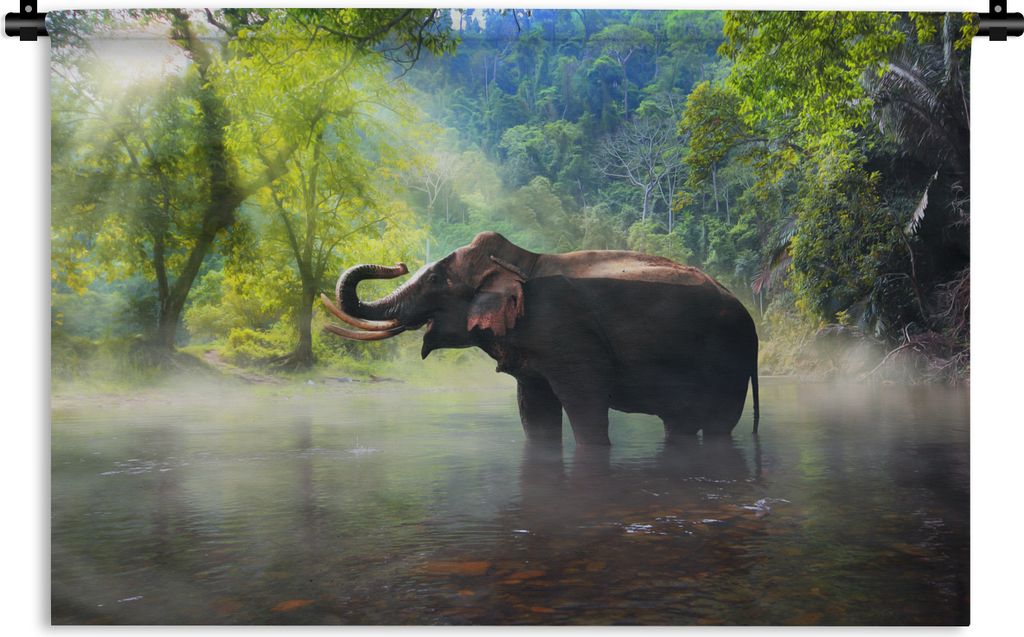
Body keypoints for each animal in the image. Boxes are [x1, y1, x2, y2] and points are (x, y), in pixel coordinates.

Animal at [321, 231, 759, 445]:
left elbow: (585, 405)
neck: (521, 262)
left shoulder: (569, 336)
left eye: (434, 280)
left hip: (730, 360)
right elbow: (533, 409)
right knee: (680, 423)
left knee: (719, 424)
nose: (399, 263)